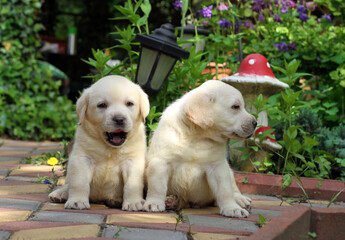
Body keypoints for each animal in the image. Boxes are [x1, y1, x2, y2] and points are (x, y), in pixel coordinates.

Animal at [48, 75, 149, 210]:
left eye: (129, 104)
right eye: (102, 105)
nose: (119, 119)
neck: (109, 148)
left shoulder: (132, 161)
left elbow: (132, 184)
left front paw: (134, 202)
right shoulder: (82, 159)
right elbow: (79, 183)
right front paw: (77, 201)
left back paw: (116, 200)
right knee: (69, 184)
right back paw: (60, 193)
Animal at [142, 80, 255, 218]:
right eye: (235, 107)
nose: (255, 123)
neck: (197, 137)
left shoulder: (218, 167)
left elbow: (225, 190)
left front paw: (232, 208)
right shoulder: (161, 162)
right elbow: (157, 186)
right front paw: (154, 203)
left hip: (228, 170)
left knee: (232, 188)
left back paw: (241, 200)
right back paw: (173, 201)